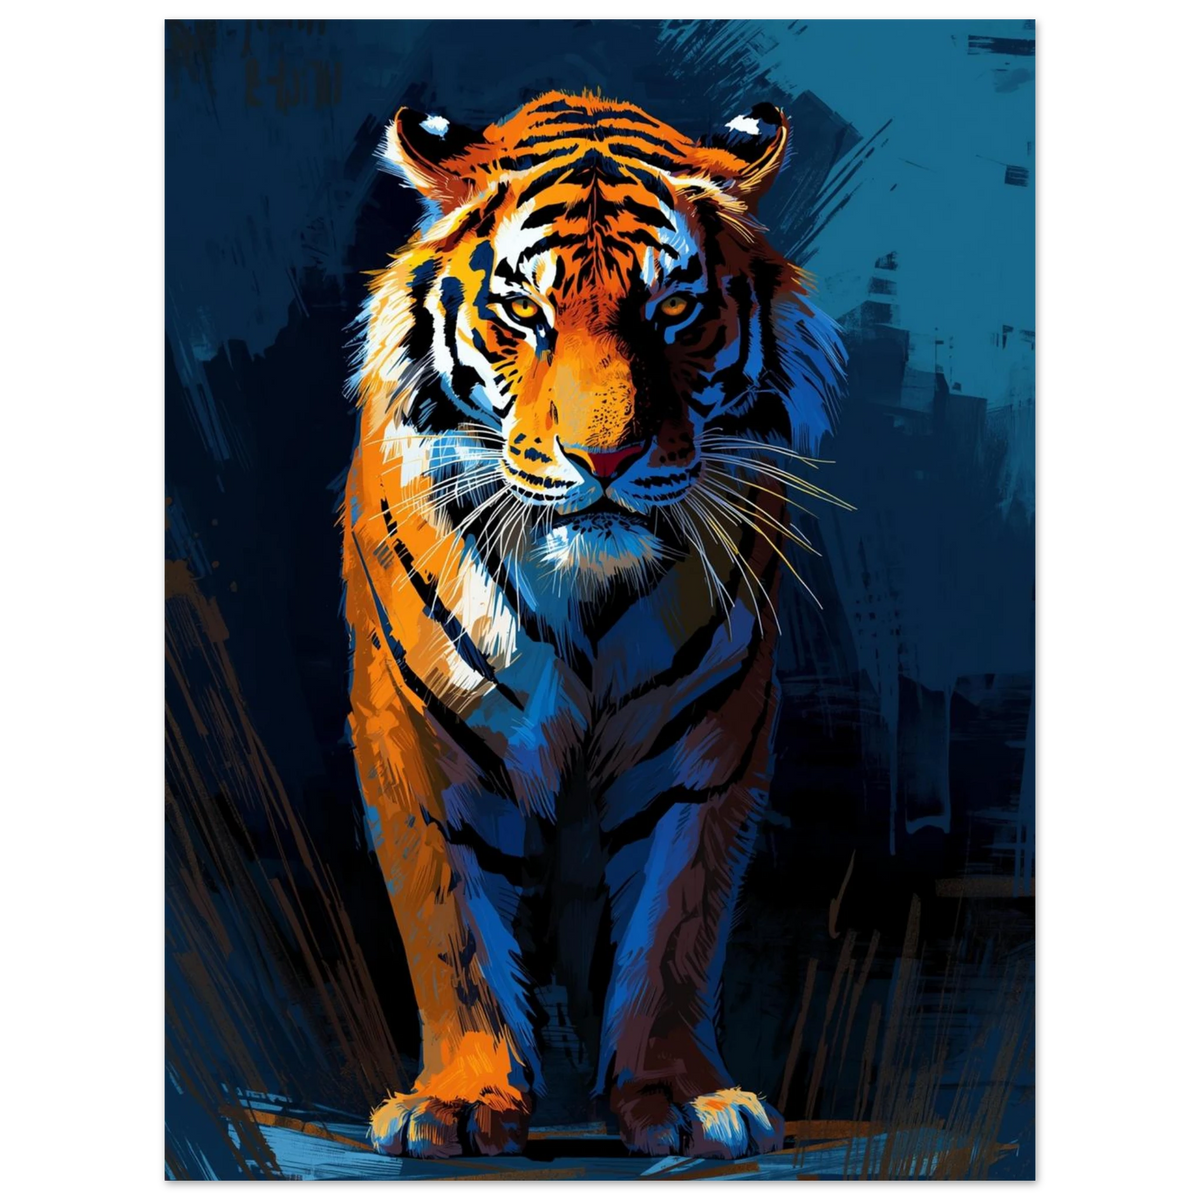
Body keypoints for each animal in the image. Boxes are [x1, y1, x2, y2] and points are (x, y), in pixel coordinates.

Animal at [341, 90, 846, 1161]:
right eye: (522, 313)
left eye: (673, 312)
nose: (604, 458)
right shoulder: (414, 725)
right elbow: (453, 930)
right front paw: (459, 1105)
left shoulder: (707, 736)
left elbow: (674, 926)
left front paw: (684, 1099)